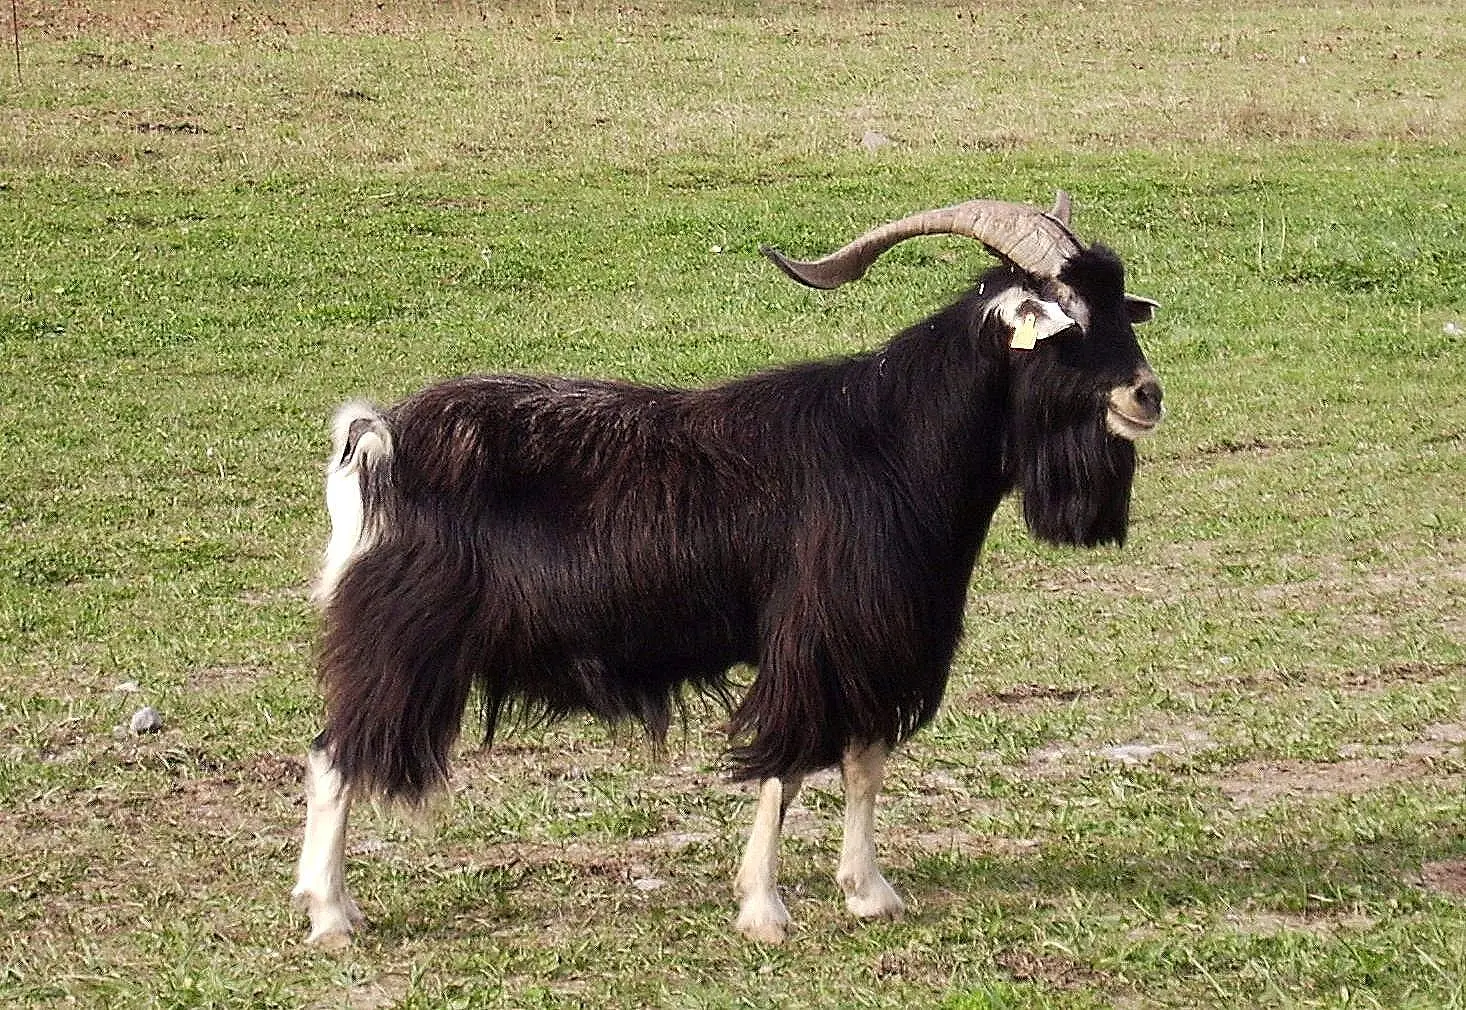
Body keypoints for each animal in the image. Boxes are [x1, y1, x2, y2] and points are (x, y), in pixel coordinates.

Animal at [291, 190, 1166, 944]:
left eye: (1118, 301)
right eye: (1065, 317)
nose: (1147, 396)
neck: (891, 441)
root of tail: (374, 439)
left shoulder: (876, 644)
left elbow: (863, 763)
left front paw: (870, 892)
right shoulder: (812, 639)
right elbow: (786, 765)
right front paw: (765, 909)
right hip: (398, 642)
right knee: (335, 753)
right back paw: (331, 915)